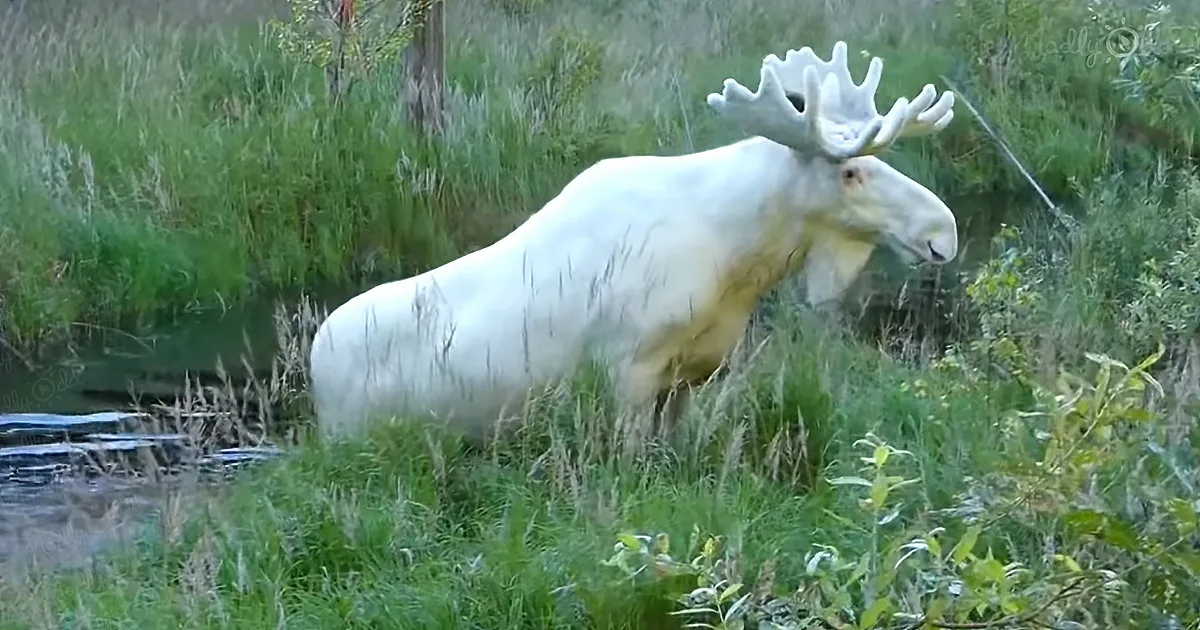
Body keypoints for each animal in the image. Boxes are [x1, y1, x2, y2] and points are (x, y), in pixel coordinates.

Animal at [307, 40, 959, 442]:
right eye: (850, 171)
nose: (942, 232)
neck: (740, 257)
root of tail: (314, 363)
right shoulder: (628, 370)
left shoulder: (691, 375)